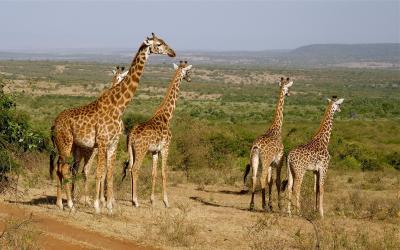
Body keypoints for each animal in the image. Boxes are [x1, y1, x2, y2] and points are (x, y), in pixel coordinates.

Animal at [50, 32, 175, 214]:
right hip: (65, 143)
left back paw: (60, 203)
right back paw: (71, 205)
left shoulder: (113, 144)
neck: (119, 106)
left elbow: (109, 174)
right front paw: (97, 206)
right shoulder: (102, 142)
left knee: (61, 168)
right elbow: (99, 173)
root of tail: (53, 125)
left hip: (67, 145)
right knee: (65, 169)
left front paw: (109, 206)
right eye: (158, 44)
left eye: (164, 41)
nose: (173, 52)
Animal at [124, 60, 193, 207]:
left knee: (130, 168)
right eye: (188, 71)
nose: (190, 79)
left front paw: (152, 200)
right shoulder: (166, 147)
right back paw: (136, 201)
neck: (167, 116)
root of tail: (131, 135)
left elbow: (154, 173)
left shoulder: (154, 151)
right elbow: (164, 172)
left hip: (131, 150)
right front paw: (166, 202)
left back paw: (133, 200)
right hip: (141, 150)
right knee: (135, 169)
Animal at [244, 77, 294, 210]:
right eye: (288, 88)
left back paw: (252, 205)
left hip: (255, 159)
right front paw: (278, 205)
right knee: (261, 177)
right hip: (265, 161)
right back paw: (263, 205)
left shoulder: (271, 164)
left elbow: (270, 181)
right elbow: (277, 181)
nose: (289, 94)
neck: (276, 129)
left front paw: (271, 204)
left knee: (254, 177)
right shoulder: (278, 162)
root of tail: (256, 146)